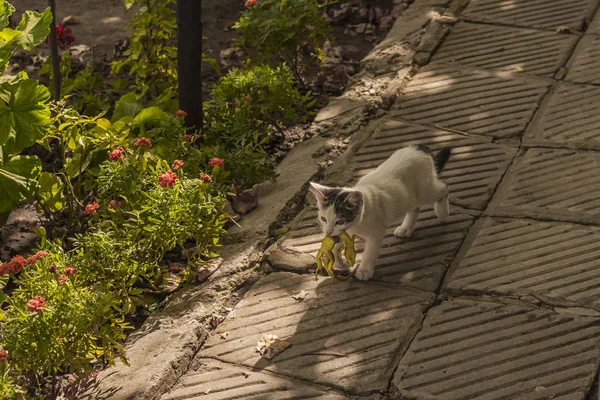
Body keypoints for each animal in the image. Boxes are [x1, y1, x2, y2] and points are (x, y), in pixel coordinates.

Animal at [310, 145, 450, 282]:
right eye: (323, 219)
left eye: (340, 221)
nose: (328, 232)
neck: (358, 223)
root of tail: (419, 147)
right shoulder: (343, 232)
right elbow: (334, 244)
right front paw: (339, 263)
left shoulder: (376, 231)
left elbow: (370, 252)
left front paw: (364, 270)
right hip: (410, 197)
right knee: (415, 207)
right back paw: (406, 228)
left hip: (424, 191)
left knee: (443, 188)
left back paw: (442, 211)